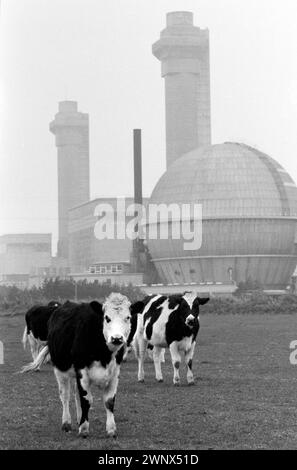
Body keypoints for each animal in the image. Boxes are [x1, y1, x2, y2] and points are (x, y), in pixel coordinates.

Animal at [21, 292, 142, 438]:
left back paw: (79, 418)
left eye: (128, 317)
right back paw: (66, 423)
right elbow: (86, 400)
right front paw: (84, 429)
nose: (117, 338)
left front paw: (111, 429)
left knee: (76, 394)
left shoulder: (114, 373)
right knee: (65, 395)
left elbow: (109, 401)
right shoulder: (82, 371)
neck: (103, 353)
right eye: (107, 318)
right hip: (60, 369)